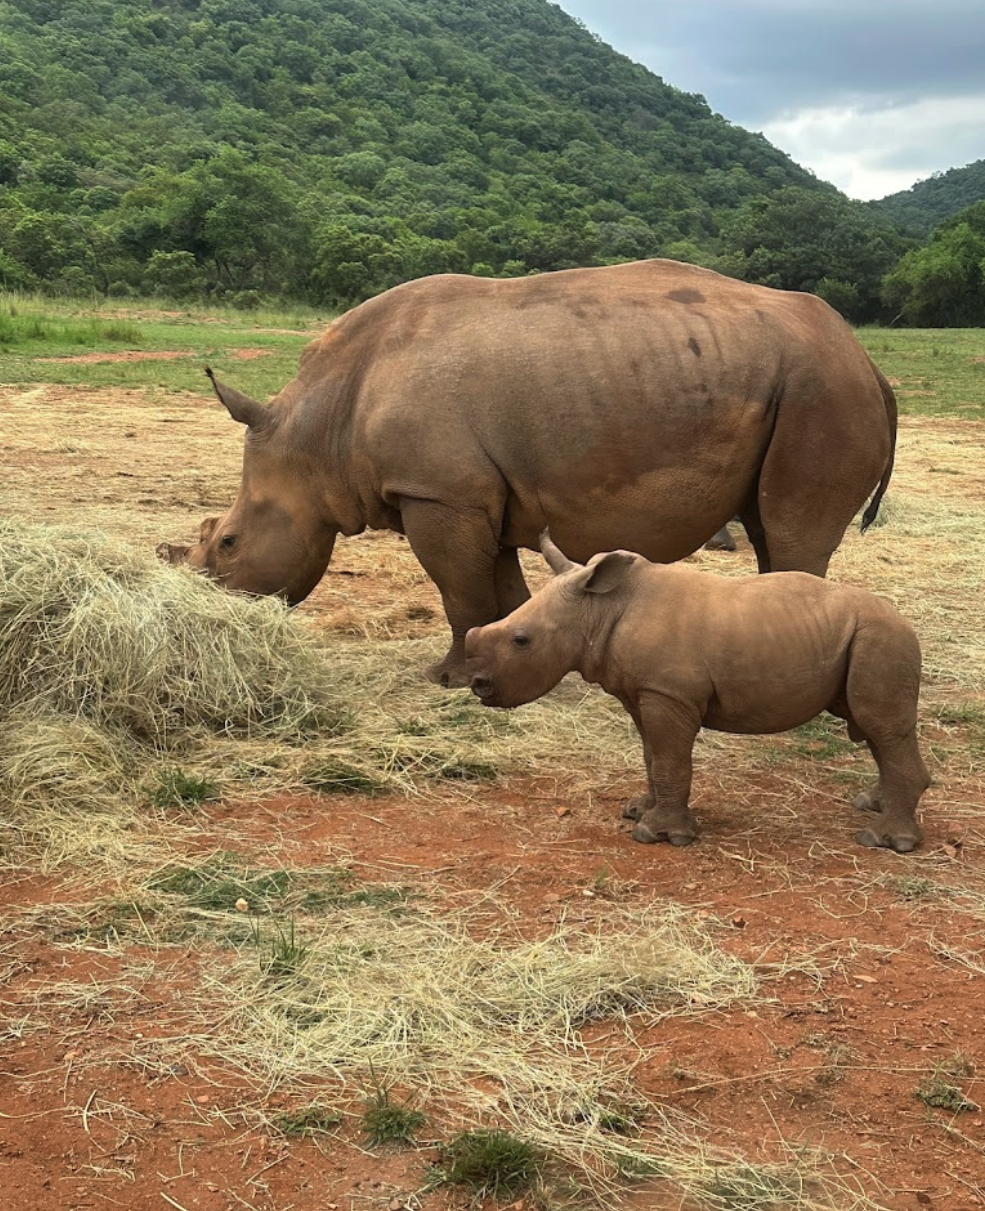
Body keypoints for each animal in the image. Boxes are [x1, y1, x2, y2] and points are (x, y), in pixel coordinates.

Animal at [157, 259, 897, 687]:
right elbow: (499, 589)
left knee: (793, 528)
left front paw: (447, 679)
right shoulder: (483, 495)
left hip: (821, 391)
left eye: (228, 543)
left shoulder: (439, 494)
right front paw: (503, 664)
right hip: (794, 385)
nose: (209, 611)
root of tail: (867, 361)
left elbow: (459, 590)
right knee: (768, 528)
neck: (318, 432)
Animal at [465, 533, 930, 853]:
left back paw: (884, 841)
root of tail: (905, 621)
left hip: (881, 639)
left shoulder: (669, 694)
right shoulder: (643, 691)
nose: (478, 684)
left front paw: (658, 835)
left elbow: (671, 761)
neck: (598, 609)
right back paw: (871, 804)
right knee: (877, 731)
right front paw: (638, 809)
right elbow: (652, 756)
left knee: (880, 726)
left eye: (521, 641)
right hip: (868, 639)